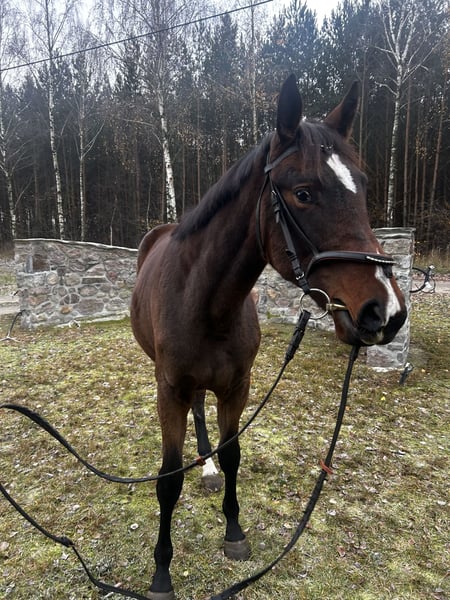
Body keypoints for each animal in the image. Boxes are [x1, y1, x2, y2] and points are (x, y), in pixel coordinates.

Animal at [130, 75, 407, 599]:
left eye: (361, 187)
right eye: (303, 193)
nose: (386, 311)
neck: (205, 303)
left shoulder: (237, 386)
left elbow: (234, 454)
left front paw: (234, 533)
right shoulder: (168, 389)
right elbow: (167, 481)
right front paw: (160, 574)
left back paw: (208, 470)